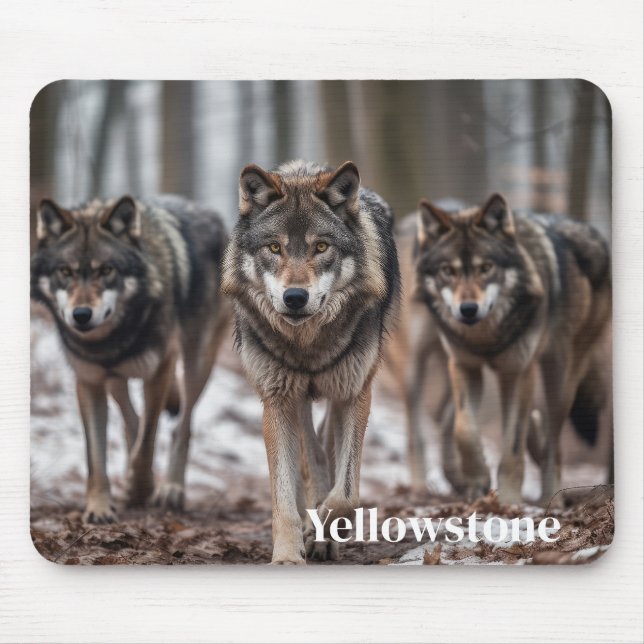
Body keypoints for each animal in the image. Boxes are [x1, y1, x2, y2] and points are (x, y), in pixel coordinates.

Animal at [31, 195, 230, 523]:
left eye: (106, 270)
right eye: (65, 272)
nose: (81, 315)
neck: (112, 341)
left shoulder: (160, 368)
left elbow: (147, 441)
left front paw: (140, 490)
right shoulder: (89, 382)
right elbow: (96, 456)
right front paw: (99, 507)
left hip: (197, 362)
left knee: (181, 426)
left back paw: (171, 489)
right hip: (115, 379)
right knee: (131, 420)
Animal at [222, 160, 400, 564]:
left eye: (321, 247)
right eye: (274, 247)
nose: (295, 297)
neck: (307, 344)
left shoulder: (354, 393)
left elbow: (347, 493)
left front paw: (323, 531)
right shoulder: (276, 401)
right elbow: (285, 497)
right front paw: (289, 554)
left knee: (327, 446)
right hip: (296, 396)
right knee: (312, 455)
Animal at [414, 193, 611, 505]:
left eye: (486, 268)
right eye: (448, 271)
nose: (468, 309)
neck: (486, 338)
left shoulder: (521, 371)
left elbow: (513, 445)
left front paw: (508, 500)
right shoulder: (464, 366)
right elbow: (464, 430)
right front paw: (477, 481)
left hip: (558, 379)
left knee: (554, 441)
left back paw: (550, 498)